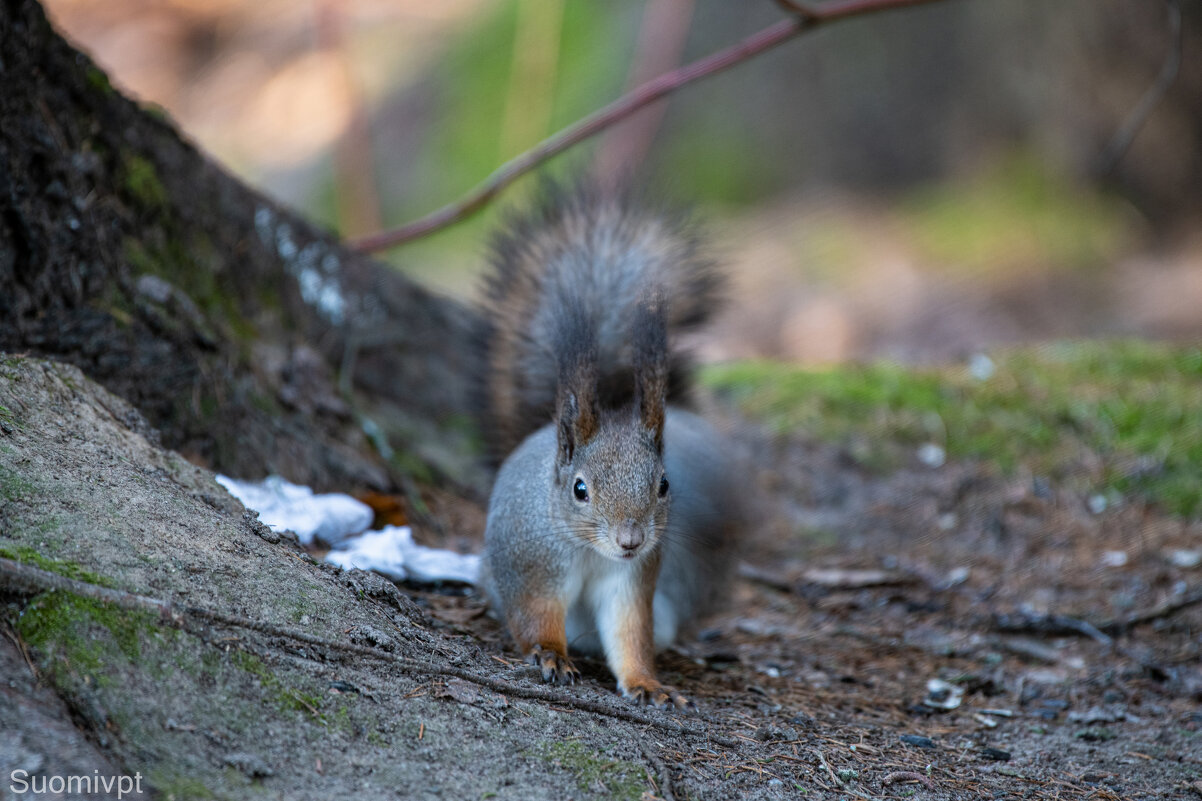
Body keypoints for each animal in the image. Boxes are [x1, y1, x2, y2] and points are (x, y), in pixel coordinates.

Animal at [475, 184, 740, 707]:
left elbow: (629, 635)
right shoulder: (533, 562)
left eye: (664, 485)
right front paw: (551, 655)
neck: (590, 552)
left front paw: (648, 684)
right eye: (580, 489)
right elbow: (536, 617)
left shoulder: (631, 580)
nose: (630, 541)